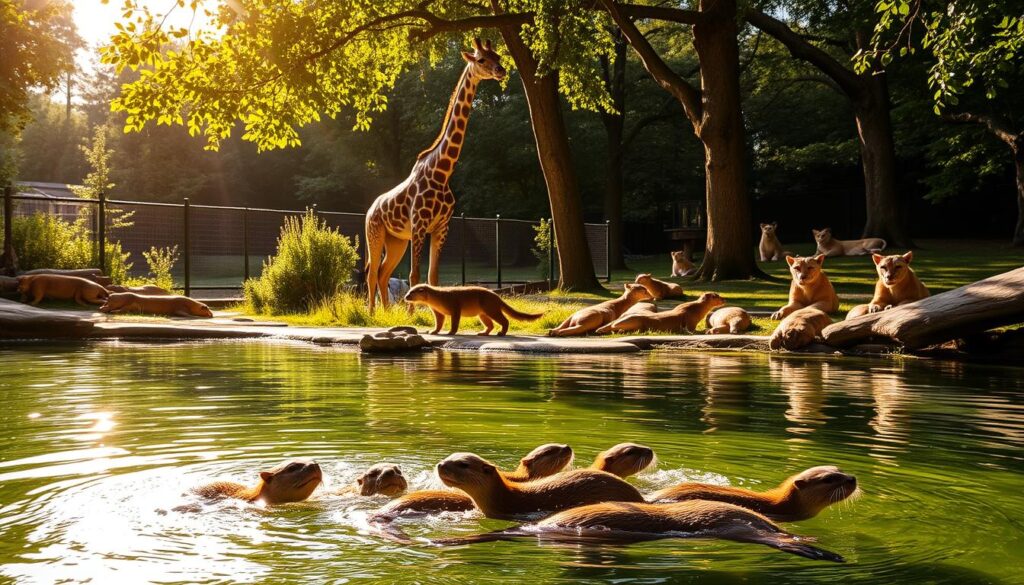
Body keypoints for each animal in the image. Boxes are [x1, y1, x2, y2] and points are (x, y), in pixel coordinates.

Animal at [364, 38, 506, 311]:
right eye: (481, 59)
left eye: (498, 56)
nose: (501, 71)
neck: (442, 172)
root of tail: (369, 208)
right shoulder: (419, 225)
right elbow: (414, 275)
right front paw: (412, 314)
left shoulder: (441, 227)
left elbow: (433, 277)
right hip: (374, 234)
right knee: (372, 272)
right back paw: (372, 313)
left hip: (396, 240)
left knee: (384, 273)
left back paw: (386, 312)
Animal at [404, 284, 542, 336]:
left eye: (411, 293)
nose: (405, 297)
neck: (439, 297)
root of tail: (496, 296)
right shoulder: (437, 312)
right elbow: (439, 322)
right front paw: (433, 331)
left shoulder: (454, 306)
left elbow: (454, 322)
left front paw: (450, 332)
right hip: (482, 314)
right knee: (490, 325)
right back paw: (483, 333)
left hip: (491, 309)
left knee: (505, 321)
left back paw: (501, 333)